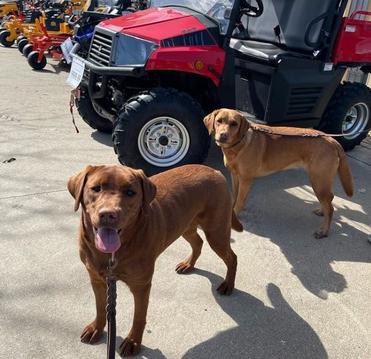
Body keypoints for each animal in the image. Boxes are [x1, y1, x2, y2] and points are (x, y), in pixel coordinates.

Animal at [68, 165, 243, 358]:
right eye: (96, 188)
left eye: (130, 192)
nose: (108, 214)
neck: (112, 254)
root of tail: (214, 171)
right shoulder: (97, 279)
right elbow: (100, 308)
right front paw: (96, 328)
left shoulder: (141, 285)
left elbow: (139, 317)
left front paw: (133, 341)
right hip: (186, 225)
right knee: (198, 242)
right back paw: (188, 264)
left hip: (216, 232)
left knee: (232, 257)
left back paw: (228, 284)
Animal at [205, 109, 356, 239]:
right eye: (219, 121)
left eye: (234, 124)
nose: (223, 135)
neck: (239, 144)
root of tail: (332, 140)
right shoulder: (235, 176)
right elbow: (235, 196)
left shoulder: (246, 180)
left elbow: (240, 201)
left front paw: (234, 216)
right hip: (321, 182)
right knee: (329, 199)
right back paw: (321, 211)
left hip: (318, 181)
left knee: (330, 207)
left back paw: (323, 230)